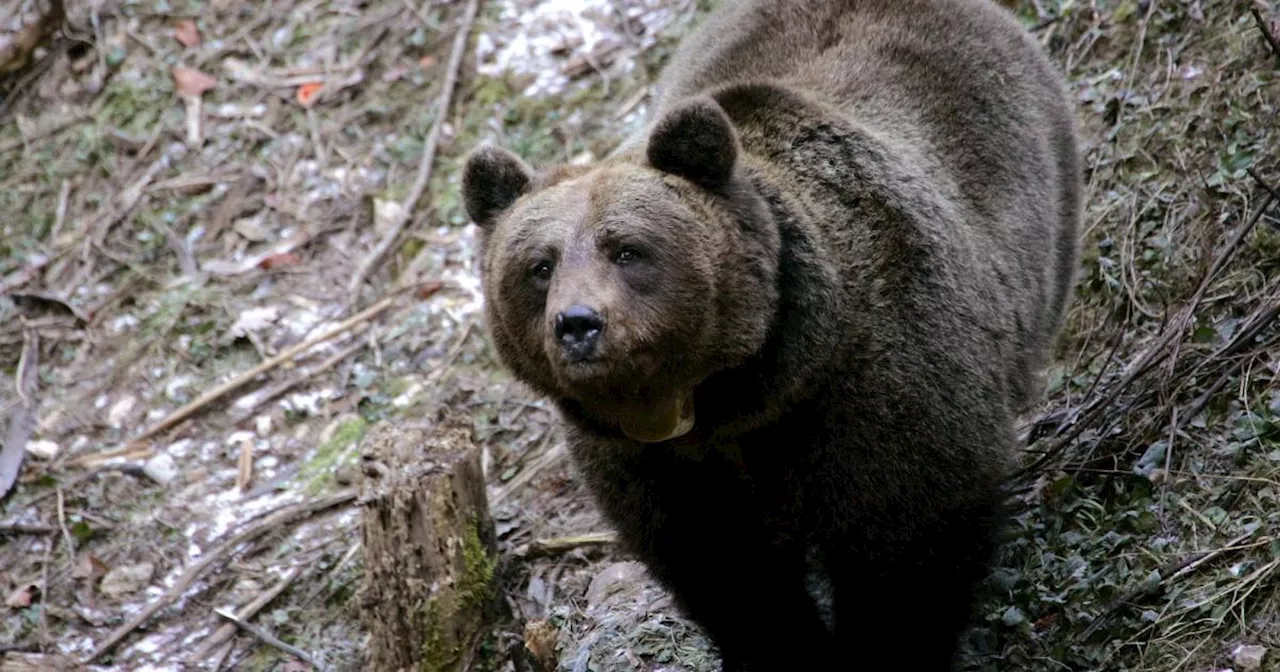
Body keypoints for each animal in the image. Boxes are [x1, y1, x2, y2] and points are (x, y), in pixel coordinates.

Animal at [460, 0, 1080, 665]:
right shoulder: (649, 465)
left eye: (627, 250)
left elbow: (907, 543)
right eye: (540, 266)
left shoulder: (881, 379)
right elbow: (727, 572)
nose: (577, 324)